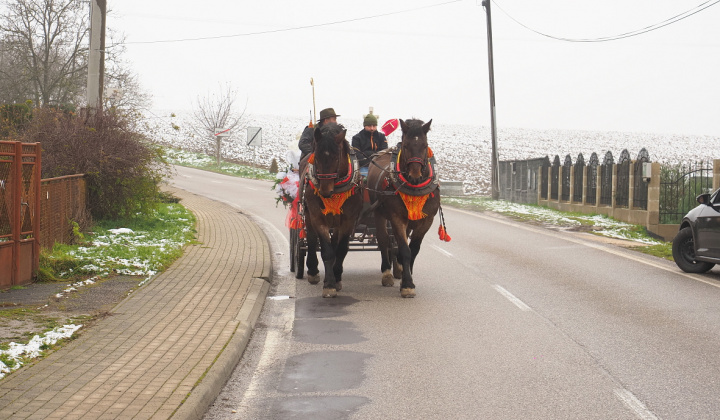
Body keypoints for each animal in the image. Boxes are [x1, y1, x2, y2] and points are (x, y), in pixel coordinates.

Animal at [300, 121, 362, 298]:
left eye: (336, 157)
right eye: (317, 157)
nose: (325, 191)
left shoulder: (348, 220)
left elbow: (340, 250)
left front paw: (336, 277)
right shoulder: (318, 218)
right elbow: (327, 251)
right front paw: (329, 285)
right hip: (308, 214)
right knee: (311, 240)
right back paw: (313, 271)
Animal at [368, 118, 442, 298]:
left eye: (425, 145)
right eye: (407, 145)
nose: (415, 174)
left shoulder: (426, 220)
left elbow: (413, 249)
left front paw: (406, 278)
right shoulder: (396, 218)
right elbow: (404, 249)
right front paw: (407, 285)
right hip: (379, 213)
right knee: (384, 240)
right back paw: (387, 273)